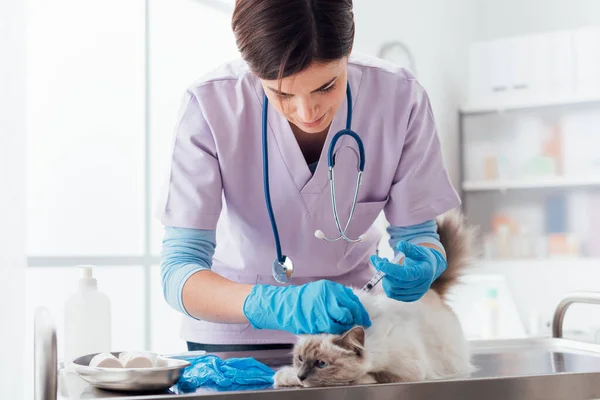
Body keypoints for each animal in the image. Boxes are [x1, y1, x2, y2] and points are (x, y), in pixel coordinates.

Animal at [274, 209, 476, 388]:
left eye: (321, 364)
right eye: (300, 359)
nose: (301, 376)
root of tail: (431, 291)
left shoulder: (406, 371)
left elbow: (369, 375)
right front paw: (286, 377)